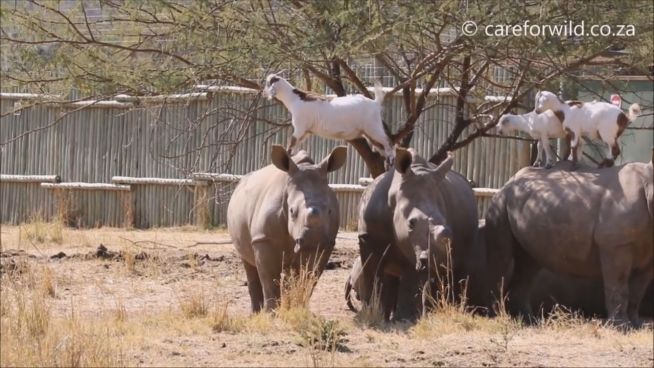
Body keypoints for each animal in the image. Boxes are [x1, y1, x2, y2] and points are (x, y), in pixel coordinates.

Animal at [228, 144, 348, 310]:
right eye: (292, 211)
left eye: (330, 211)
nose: (313, 240)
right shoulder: (264, 239)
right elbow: (270, 282)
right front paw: (271, 313)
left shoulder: (326, 246)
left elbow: (308, 280)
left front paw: (298, 309)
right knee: (248, 263)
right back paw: (256, 312)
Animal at [266, 73, 394, 165]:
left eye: (268, 83)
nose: (264, 92)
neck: (295, 99)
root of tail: (375, 103)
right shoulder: (307, 131)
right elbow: (295, 146)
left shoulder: (300, 127)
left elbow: (291, 143)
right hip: (368, 132)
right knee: (381, 146)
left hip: (373, 127)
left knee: (388, 141)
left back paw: (391, 160)